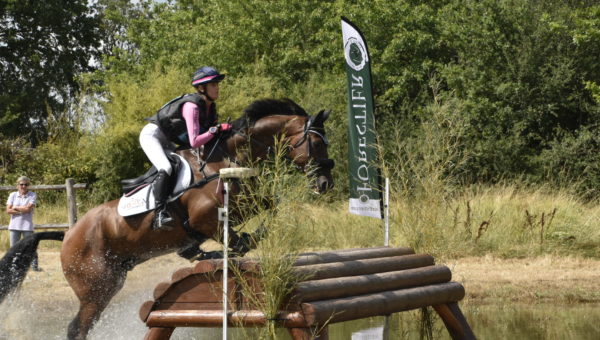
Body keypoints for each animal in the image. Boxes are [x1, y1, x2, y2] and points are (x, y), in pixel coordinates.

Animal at [0, 97, 332, 338]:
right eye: (317, 143)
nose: (325, 183)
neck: (226, 159)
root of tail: (67, 234)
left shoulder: (245, 203)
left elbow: (271, 206)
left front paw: (233, 244)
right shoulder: (204, 219)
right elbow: (234, 236)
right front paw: (225, 249)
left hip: (111, 281)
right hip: (95, 288)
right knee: (77, 328)